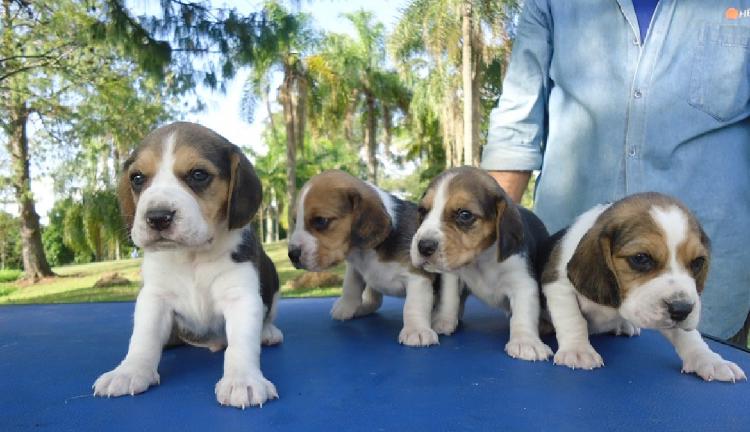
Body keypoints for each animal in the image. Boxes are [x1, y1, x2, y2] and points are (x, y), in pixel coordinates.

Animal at [94, 122, 282, 408]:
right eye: (137, 178)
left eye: (198, 174)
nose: (157, 217)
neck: (191, 256)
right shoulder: (154, 298)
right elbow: (143, 338)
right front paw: (129, 371)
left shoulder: (241, 296)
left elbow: (242, 343)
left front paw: (242, 380)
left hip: (272, 277)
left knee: (267, 314)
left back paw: (268, 332)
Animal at [288, 170, 464, 346]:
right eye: (295, 220)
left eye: (320, 221)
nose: (292, 254)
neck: (363, 253)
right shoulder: (354, 266)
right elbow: (350, 286)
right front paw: (346, 306)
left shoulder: (417, 277)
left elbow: (413, 306)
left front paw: (416, 331)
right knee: (375, 301)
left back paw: (442, 320)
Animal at [412, 166, 552, 362]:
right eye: (423, 211)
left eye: (464, 215)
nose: (424, 246)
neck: (481, 259)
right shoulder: (453, 276)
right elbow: (450, 297)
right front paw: (443, 320)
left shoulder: (523, 282)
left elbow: (524, 313)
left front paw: (526, 342)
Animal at [544, 192, 748, 382]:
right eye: (641, 258)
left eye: (698, 262)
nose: (682, 310)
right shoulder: (557, 286)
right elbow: (572, 319)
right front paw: (578, 351)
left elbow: (690, 336)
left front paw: (710, 360)